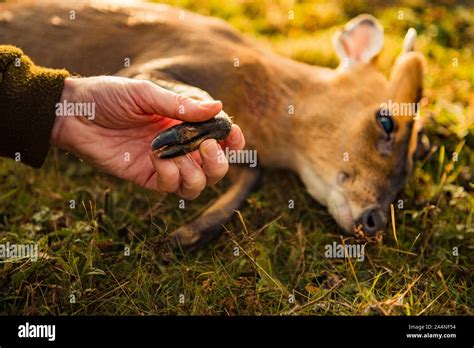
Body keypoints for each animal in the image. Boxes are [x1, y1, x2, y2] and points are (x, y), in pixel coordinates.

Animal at [0, 1, 430, 249]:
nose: (374, 221)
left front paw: (186, 234)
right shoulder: (157, 62)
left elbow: (250, 175)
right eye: (386, 121)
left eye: (421, 152)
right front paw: (185, 135)